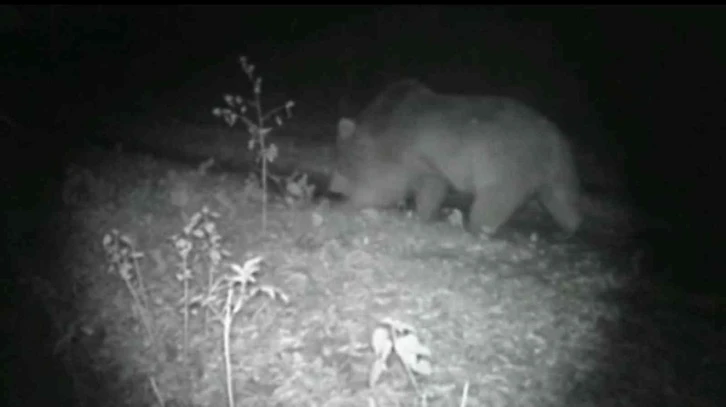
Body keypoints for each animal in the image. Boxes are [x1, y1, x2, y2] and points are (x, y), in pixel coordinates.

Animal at [330, 79, 584, 239]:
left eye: (342, 162)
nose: (333, 188)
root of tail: (553, 135)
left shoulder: (404, 153)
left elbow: (390, 188)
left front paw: (347, 205)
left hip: (506, 163)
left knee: (493, 201)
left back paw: (476, 228)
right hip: (555, 169)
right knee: (561, 199)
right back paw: (569, 229)